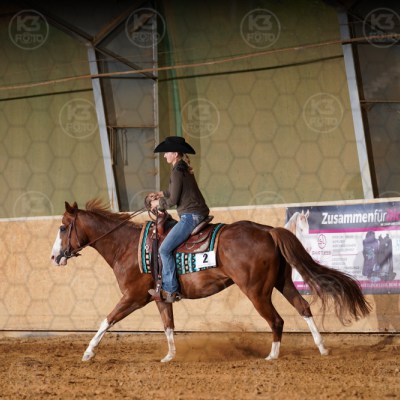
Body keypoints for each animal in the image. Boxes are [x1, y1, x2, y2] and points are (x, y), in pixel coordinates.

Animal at [51, 200, 371, 362]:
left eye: (64, 227)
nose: (55, 257)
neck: (127, 247)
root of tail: (267, 230)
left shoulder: (133, 296)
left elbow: (107, 319)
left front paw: (88, 352)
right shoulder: (159, 297)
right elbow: (168, 326)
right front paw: (170, 356)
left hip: (257, 291)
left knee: (277, 320)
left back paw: (272, 356)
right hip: (283, 283)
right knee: (303, 308)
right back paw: (322, 348)